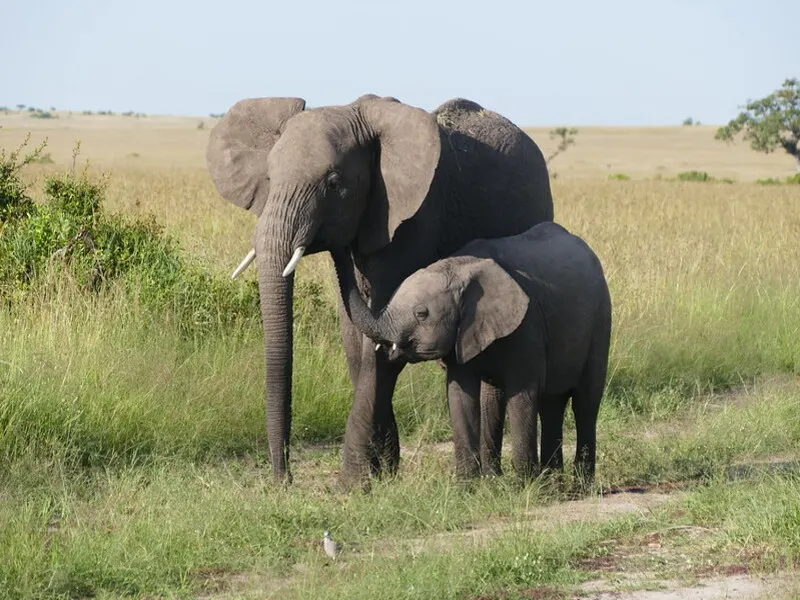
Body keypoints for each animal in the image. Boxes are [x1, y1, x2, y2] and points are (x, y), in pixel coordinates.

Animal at [206, 95, 552, 488]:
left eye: (335, 183)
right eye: (268, 178)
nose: (284, 480)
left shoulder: (414, 218)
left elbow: (382, 342)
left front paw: (353, 484)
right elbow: (357, 343)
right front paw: (383, 472)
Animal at [338, 223, 612, 486]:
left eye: (421, 314)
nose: (344, 247)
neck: (460, 269)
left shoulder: (527, 325)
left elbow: (523, 394)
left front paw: (523, 486)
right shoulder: (463, 334)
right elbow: (461, 395)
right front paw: (467, 487)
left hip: (600, 319)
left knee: (585, 402)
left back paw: (579, 485)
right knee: (543, 403)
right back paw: (551, 482)